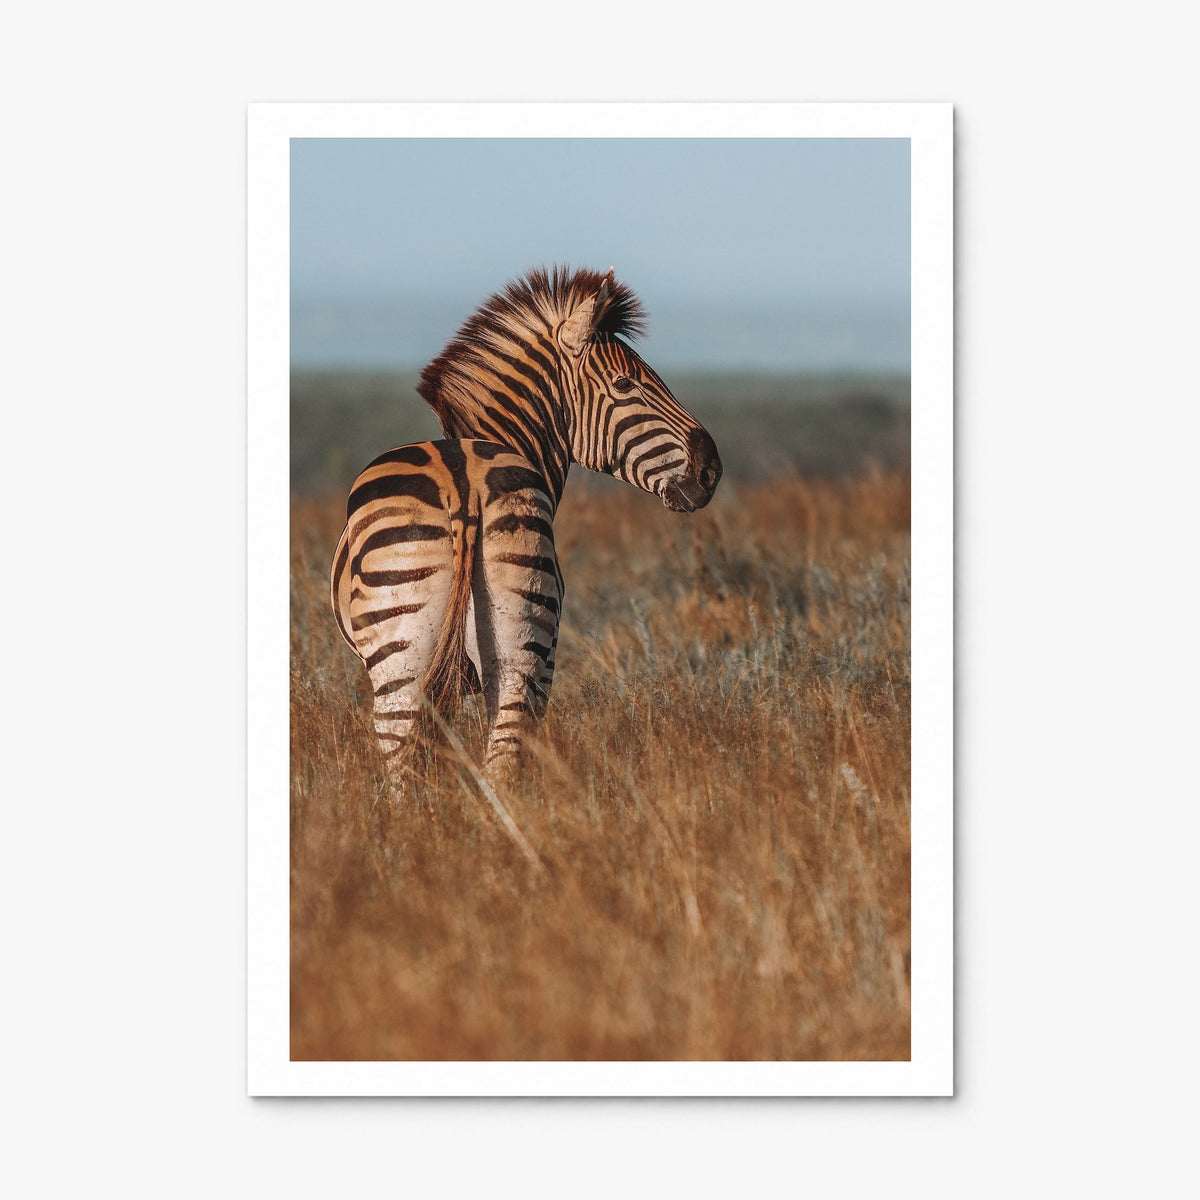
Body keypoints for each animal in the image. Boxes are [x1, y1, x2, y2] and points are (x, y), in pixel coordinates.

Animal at [330, 266, 722, 790]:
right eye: (625, 384)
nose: (711, 470)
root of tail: (464, 487)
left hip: (419, 662)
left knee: (416, 768)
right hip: (515, 652)